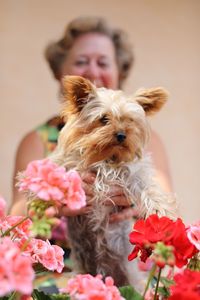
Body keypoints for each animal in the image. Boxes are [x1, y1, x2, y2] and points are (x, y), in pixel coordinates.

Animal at [50, 75, 177, 286]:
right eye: (104, 119)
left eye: (130, 121)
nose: (121, 135)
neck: (107, 157)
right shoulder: (70, 164)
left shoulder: (134, 174)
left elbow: (150, 190)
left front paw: (162, 212)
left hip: (132, 279)